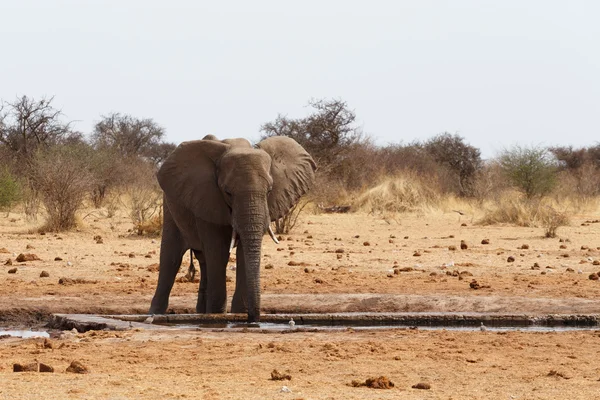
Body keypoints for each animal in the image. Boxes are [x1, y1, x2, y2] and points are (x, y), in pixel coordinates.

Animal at [149, 134, 318, 322]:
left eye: (269, 191)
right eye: (228, 192)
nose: (254, 319)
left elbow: (243, 252)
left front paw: (239, 312)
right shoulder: (208, 198)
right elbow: (219, 252)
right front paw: (218, 314)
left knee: (203, 260)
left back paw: (201, 311)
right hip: (170, 205)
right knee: (171, 258)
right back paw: (155, 313)